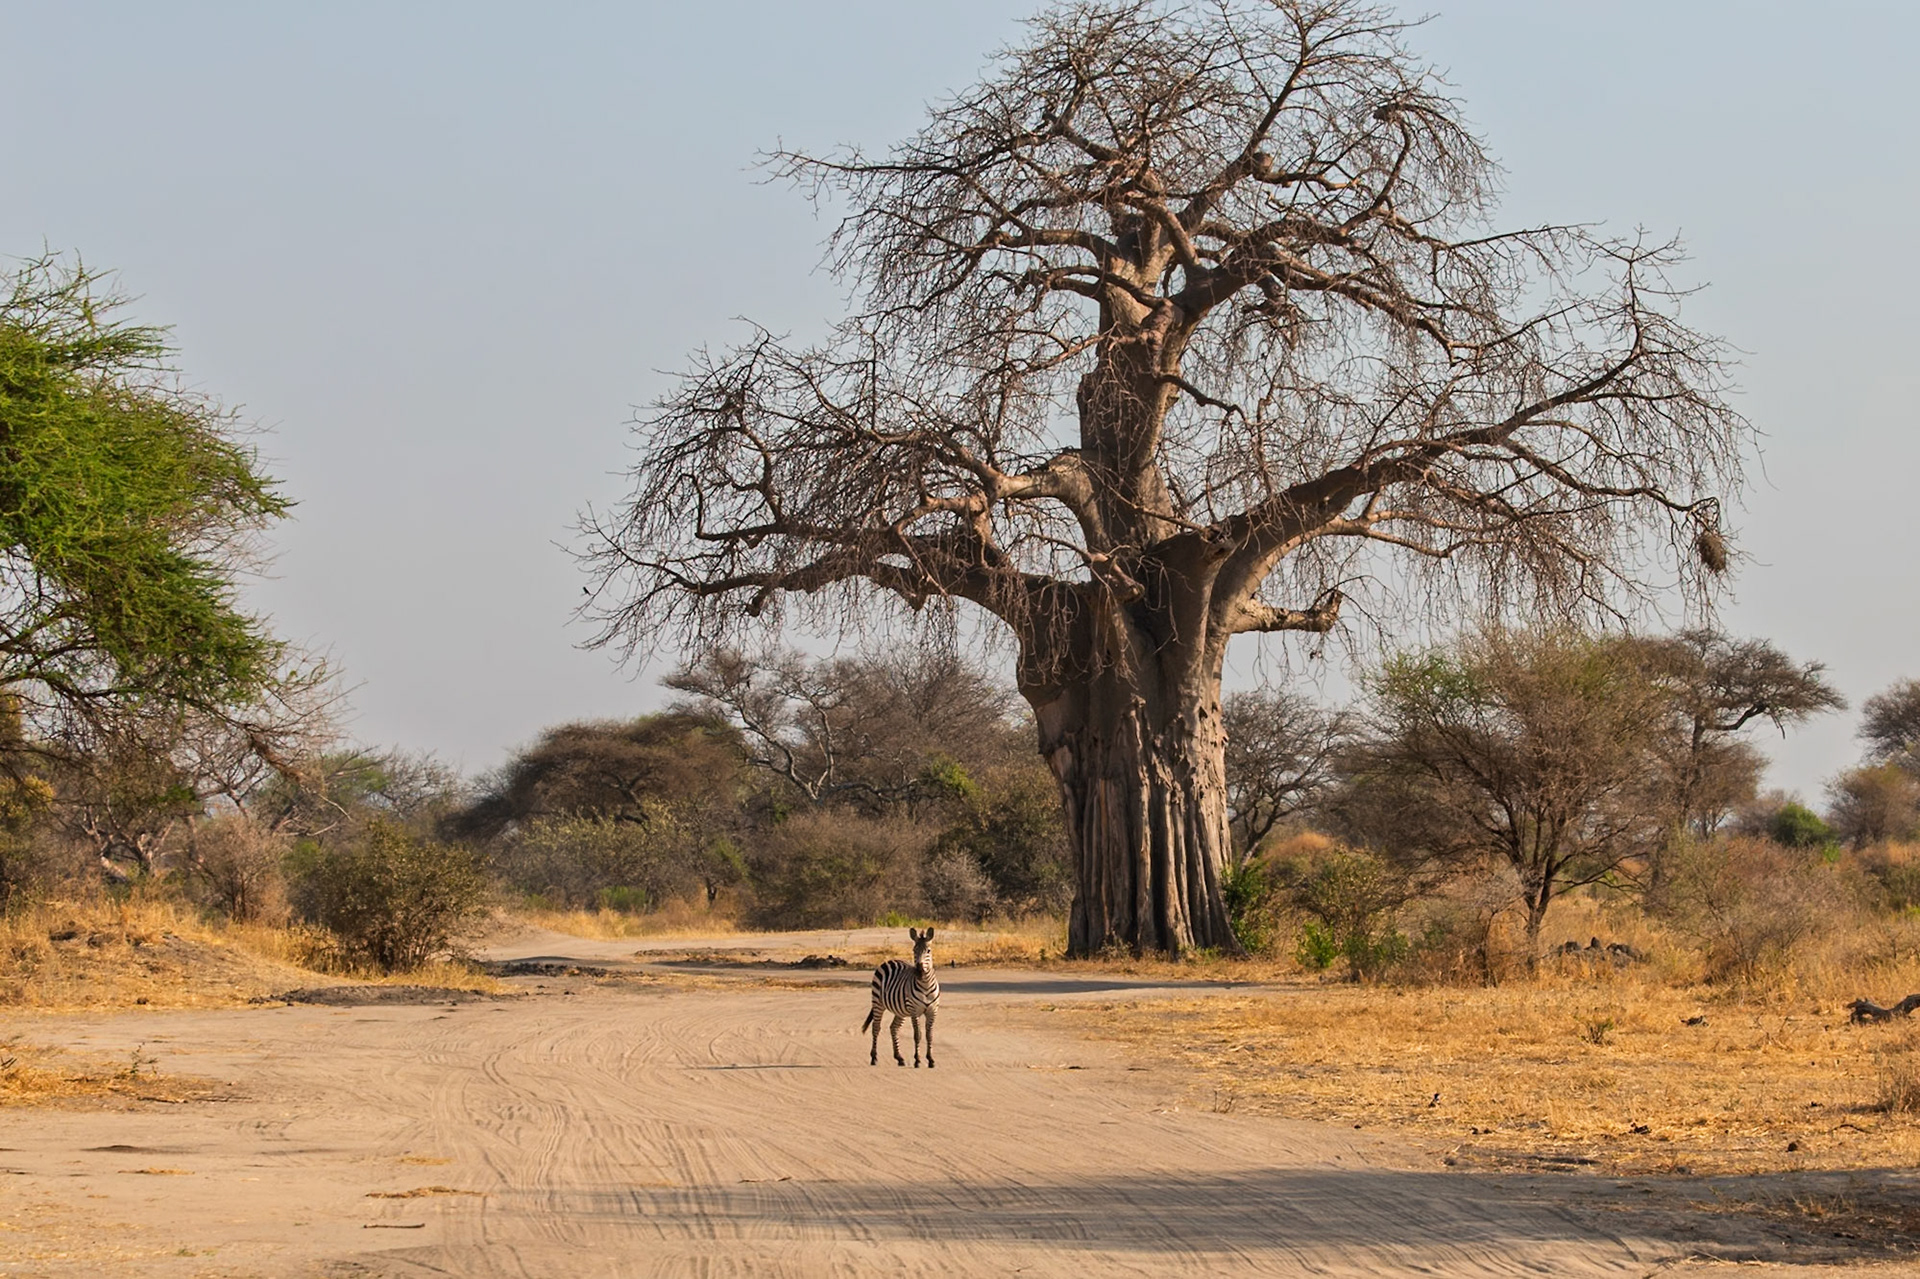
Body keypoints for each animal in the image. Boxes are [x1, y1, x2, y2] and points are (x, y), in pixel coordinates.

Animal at [862, 927, 939, 1068]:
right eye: (914, 950)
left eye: (928, 951)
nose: (919, 972)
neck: (925, 984)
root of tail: (890, 960)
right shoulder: (915, 1011)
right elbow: (917, 1035)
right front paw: (917, 1060)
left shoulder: (932, 1011)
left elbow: (929, 1035)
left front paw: (930, 1059)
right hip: (877, 1003)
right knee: (876, 1028)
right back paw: (874, 1057)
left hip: (900, 1010)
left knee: (893, 1028)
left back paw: (899, 1057)